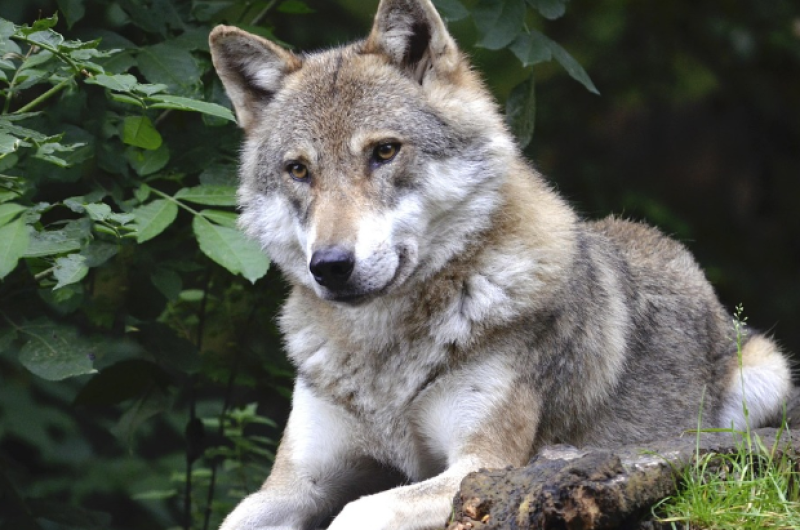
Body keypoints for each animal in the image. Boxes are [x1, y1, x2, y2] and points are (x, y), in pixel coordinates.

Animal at [208, 0, 793, 528]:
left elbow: (359, 511)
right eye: (299, 170)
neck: (384, 356)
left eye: (385, 152)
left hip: (767, 375)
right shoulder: (296, 483)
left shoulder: (482, 466)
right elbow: (235, 515)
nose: (329, 266)